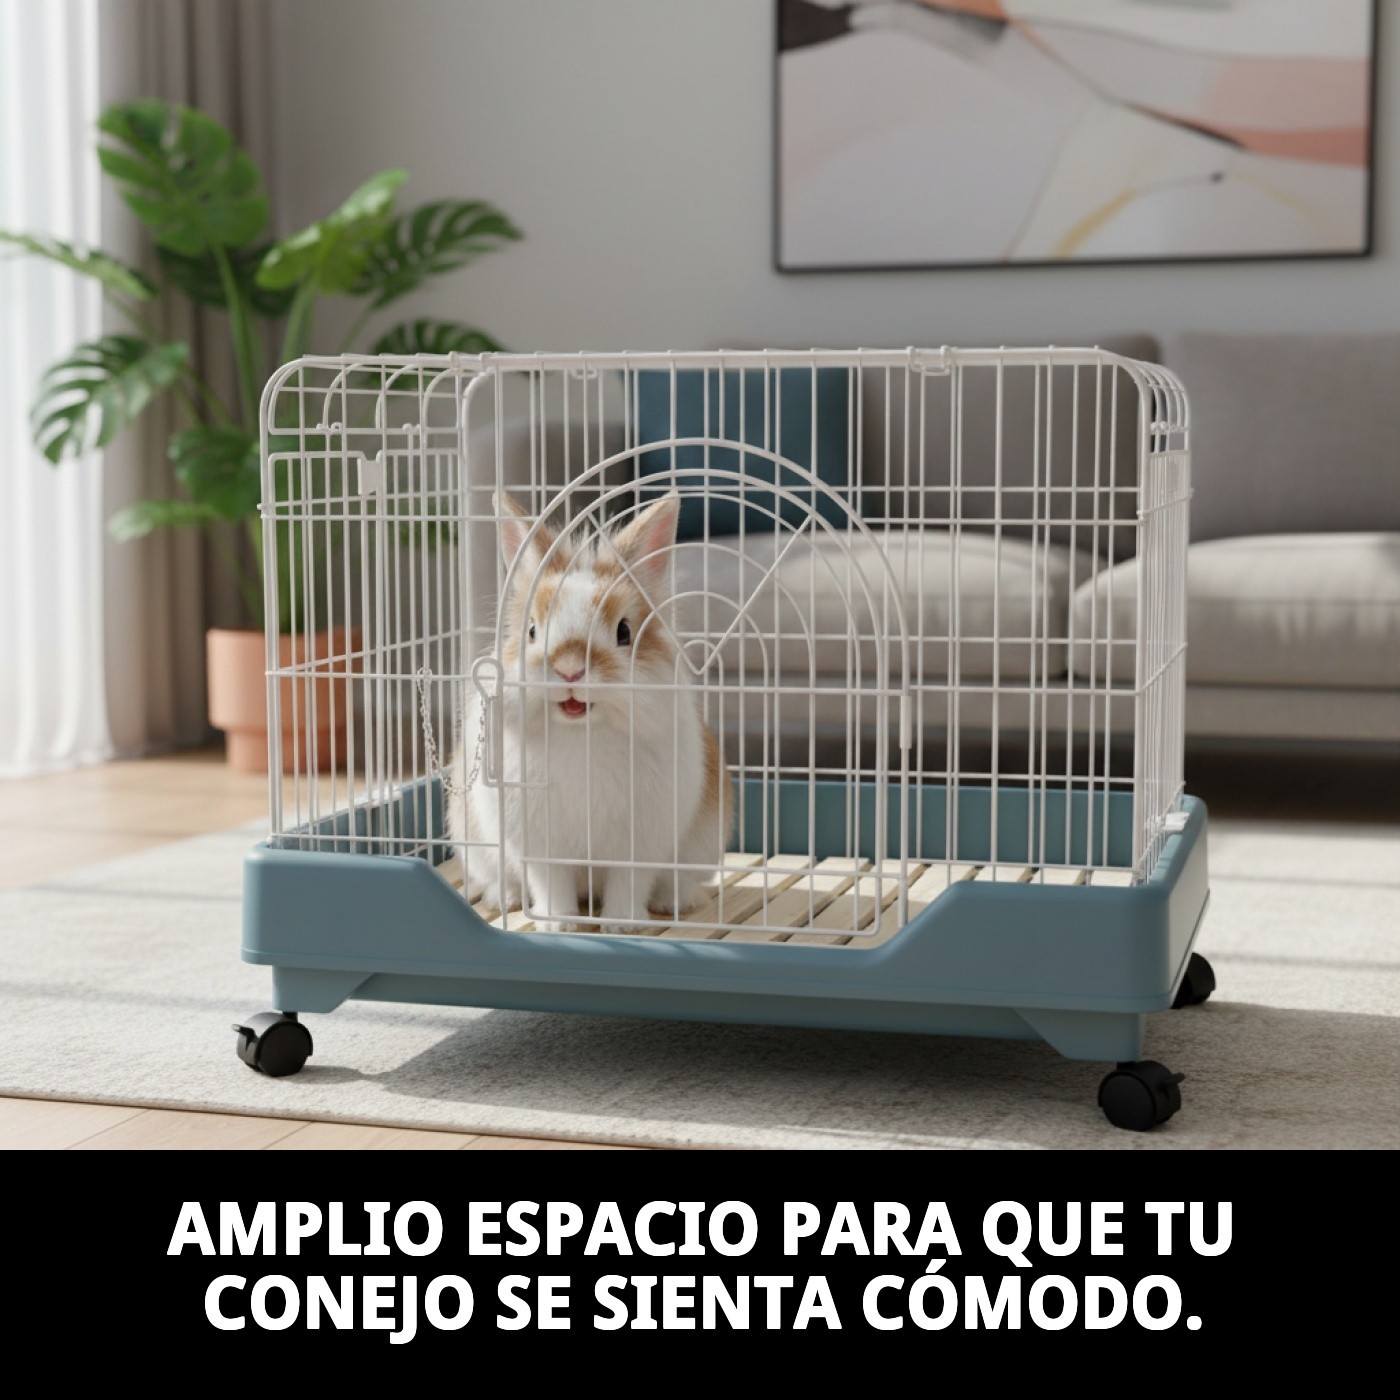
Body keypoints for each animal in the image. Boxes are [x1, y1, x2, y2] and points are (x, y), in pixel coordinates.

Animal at [449, 491, 732, 934]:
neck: (580, 731)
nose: (569, 669)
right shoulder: (538, 845)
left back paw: (674, 903)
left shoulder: (640, 843)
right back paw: (505, 898)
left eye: (624, 632)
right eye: (532, 631)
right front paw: (558, 924)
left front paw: (622, 924)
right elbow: (551, 882)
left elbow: (628, 881)